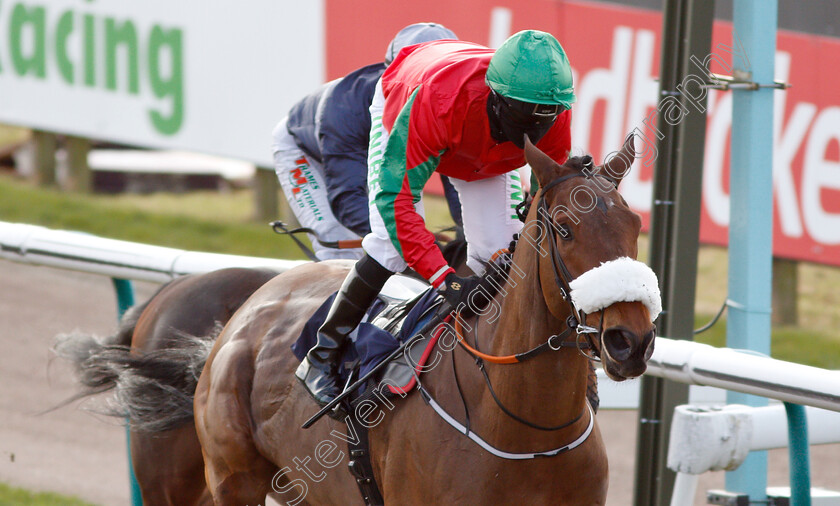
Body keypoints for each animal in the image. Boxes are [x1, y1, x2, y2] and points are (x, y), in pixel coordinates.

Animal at [192, 136, 664, 504]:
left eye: (634, 225)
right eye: (564, 229)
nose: (630, 340)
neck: (530, 432)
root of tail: (251, 307)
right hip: (234, 481)